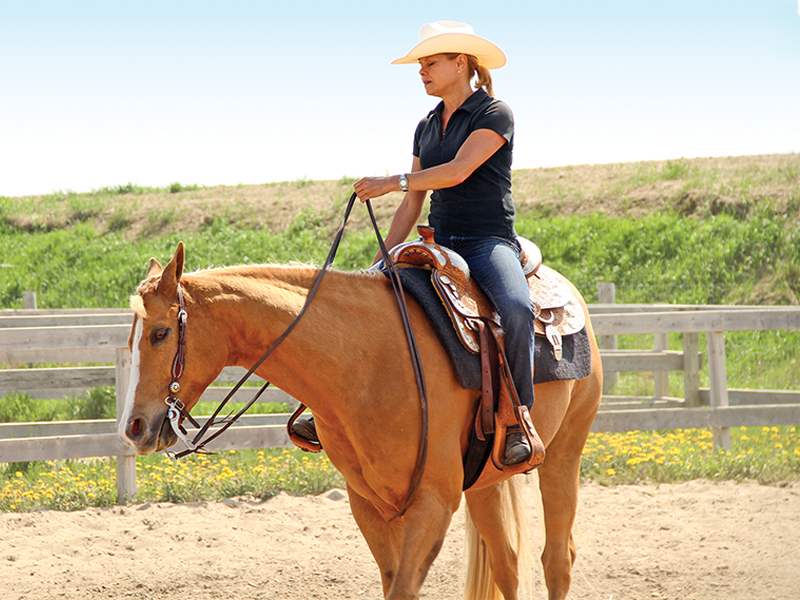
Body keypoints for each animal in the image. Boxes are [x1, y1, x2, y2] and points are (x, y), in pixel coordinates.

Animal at [119, 242, 602, 600]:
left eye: (160, 333)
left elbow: (404, 589)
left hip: (564, 455)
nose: (133, 428)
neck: (367, 363)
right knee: (508, 564)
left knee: (558, 560)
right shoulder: (368, 504)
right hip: (485, 483)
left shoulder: (432, 502)